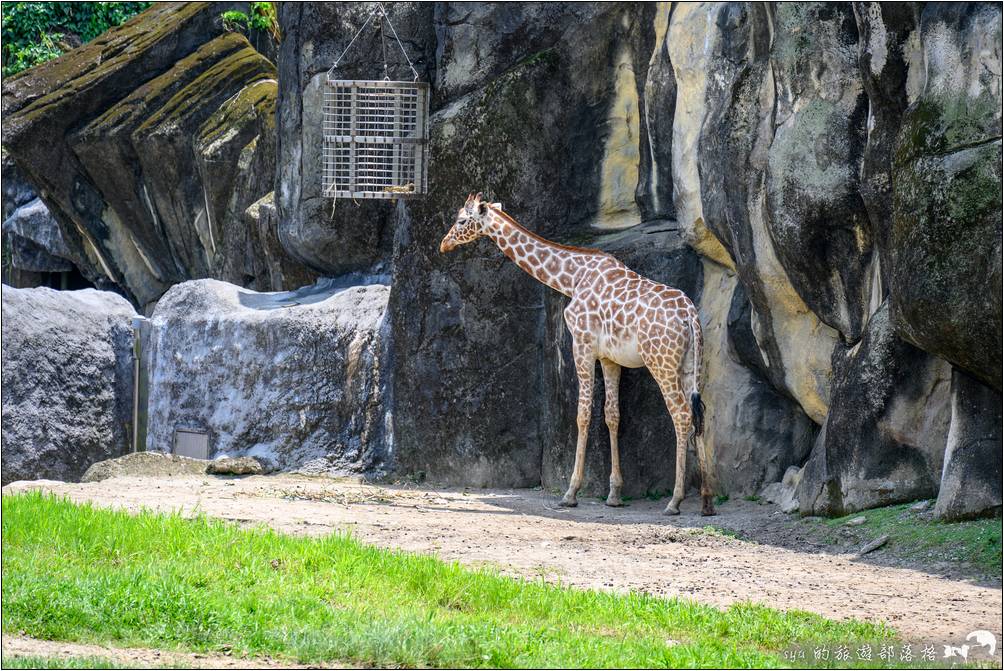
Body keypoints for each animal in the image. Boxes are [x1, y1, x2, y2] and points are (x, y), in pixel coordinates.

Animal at [443, 190, 718, 518]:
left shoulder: (582, 345)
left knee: (681, 414)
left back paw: (675, 501)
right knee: (700, 413)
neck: (572, 278)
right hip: (690, 364)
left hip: (661, 362)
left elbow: (583, 414)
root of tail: (689, 315)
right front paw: (614, 494)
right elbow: (612, 415)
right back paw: (706, 500)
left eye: (462, 220)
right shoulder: (610, 358)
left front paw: (570, 492)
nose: (444, 244)